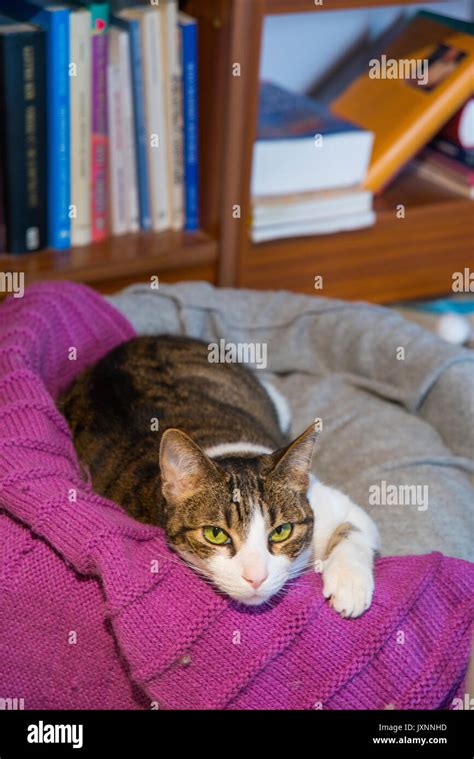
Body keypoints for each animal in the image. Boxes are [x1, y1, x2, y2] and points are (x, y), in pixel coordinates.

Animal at [59, 336, 380, 616]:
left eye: (281, 531)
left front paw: (349, 585)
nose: (256, 578)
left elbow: (355, 527)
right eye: (216, 534)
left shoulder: (334, 506)